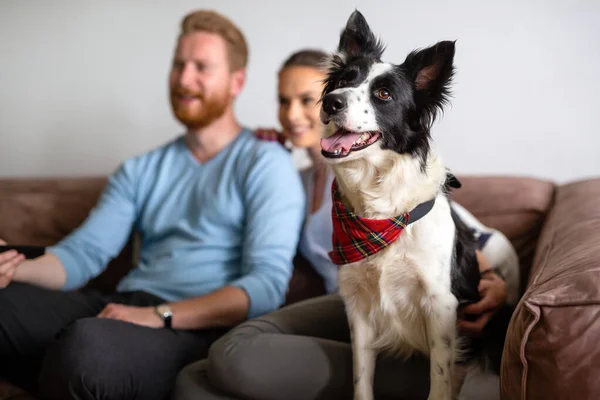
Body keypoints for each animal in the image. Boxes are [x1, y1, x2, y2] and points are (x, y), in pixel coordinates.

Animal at [322, 9, 516, 400]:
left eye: (383, 94)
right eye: (344, 80)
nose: (330, 101)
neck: (381, 216)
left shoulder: (440, 304)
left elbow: (439, 377)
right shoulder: (358, 306)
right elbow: (361, 375)